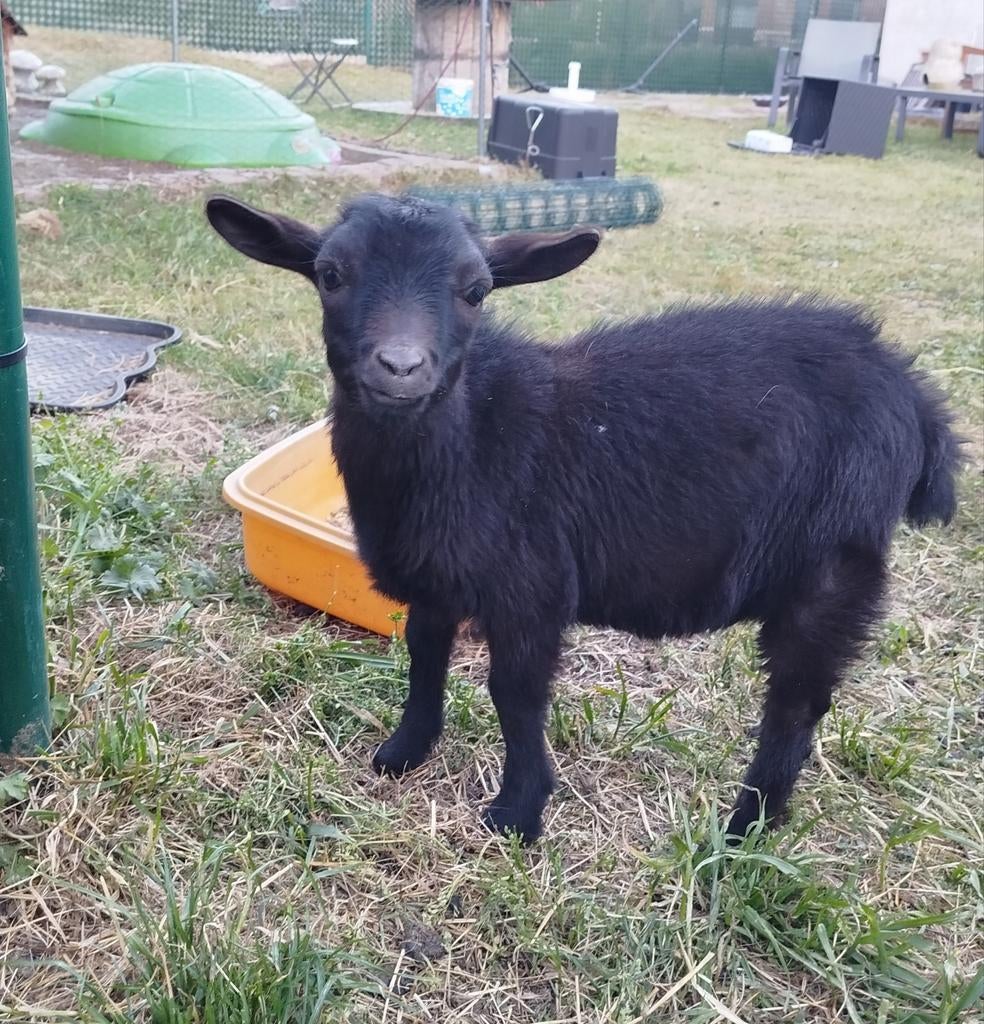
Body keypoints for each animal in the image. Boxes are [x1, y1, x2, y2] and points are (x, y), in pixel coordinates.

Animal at [206, 192, 960, 844]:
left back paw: (744, 831)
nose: (400, 367)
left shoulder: (531, 589)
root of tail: (914, 394)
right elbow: (424, 657)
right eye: (330, 275)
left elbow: (515, 695)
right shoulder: (435, 580)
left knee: (796, 705)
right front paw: (402, 751)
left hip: (833, 564)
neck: (470, 440)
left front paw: (517, 814)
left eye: (476, 291)